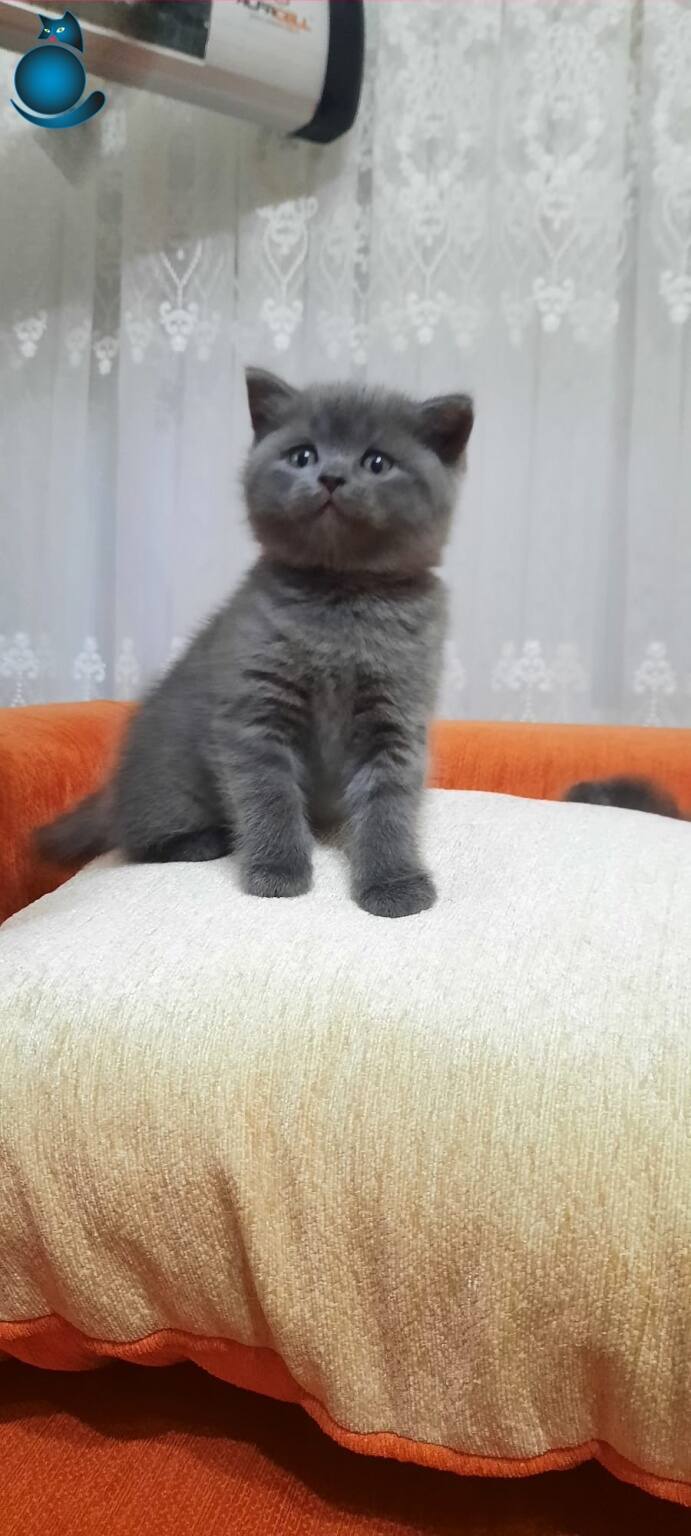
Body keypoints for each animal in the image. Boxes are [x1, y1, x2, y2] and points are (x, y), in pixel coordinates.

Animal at [37, 368, 473, 918]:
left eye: (377, 462)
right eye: (302, 455)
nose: (331, 477)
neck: (339, 594)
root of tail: (113, 789)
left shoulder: (395, 717)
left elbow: (389, 807)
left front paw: (394, 882)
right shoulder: (255, 711)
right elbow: (269, 794)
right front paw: (277, 870)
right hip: (169, 788)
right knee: (136, 839)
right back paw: (203, 841)